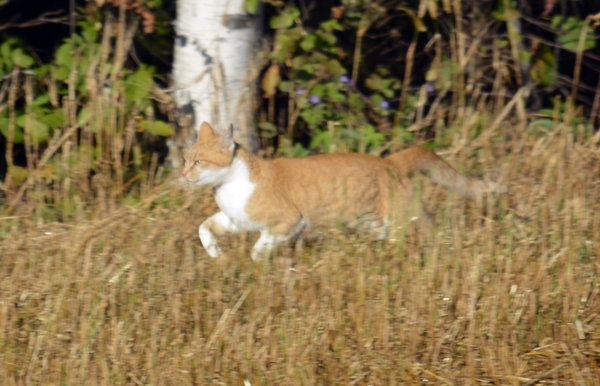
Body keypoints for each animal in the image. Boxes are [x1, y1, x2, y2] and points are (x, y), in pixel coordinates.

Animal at [183, 121, 506, 260]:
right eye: (185, 159)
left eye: (199, 162)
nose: (183, 174)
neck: (230, 189)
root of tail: (390, 160)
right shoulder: (235, 221)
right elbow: (203, 227)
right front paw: (215, 254)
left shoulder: (289, 221)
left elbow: (258, 249)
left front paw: (260, 265)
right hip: (380, 227)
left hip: (406, 222)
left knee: (438, 237)